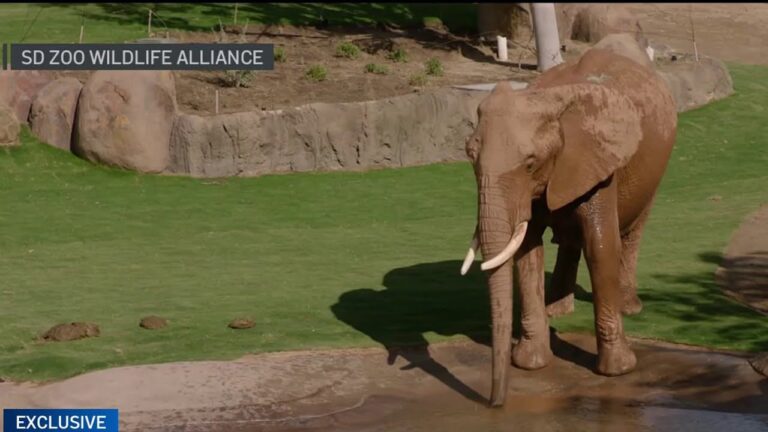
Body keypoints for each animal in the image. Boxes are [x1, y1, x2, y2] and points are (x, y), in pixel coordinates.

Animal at [459, 48, 677, 407]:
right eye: (470, 156)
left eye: (530, 163)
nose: (494, 404)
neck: (550, 101)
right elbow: (527, 249)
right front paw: (531, 363)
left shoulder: (598, 162)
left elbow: (601, 246)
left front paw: (618, 370)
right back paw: (558, 310)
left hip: (656, 169)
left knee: (631, 233)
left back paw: (630, 307)